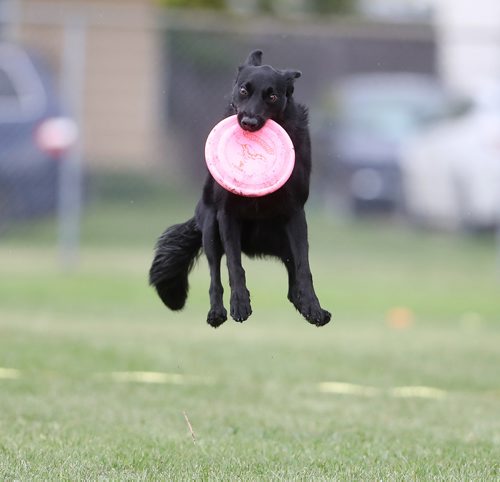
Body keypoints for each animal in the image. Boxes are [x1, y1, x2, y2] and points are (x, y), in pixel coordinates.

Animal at [150, 50, 334, 328]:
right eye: (244, 90)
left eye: (272, 96)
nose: (248, 122)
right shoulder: (227, 214)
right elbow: (234, 266)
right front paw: (239, 303)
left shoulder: (295, 214)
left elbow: (304, 268)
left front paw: (313, 306)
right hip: (210, 227)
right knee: (215, 275)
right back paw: (216, 312)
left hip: (285, 239)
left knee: (292, 286)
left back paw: (305, 305)